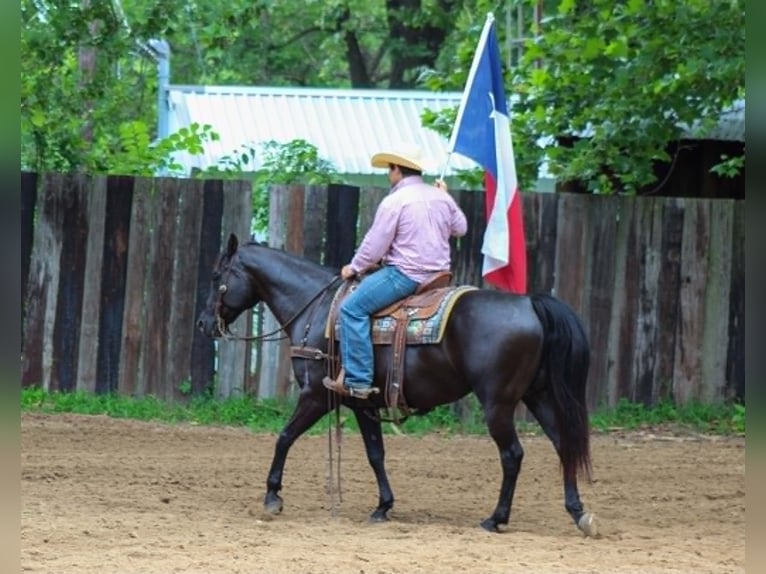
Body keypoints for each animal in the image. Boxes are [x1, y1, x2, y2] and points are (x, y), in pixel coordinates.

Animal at [196, 233, 597, 536]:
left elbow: (284, 437)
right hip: (538, 395)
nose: (203, 323)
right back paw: (579, 513)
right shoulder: (363, 403)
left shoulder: (315, 395)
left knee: (512, 454)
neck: (318, 310)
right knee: (564, 444)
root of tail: (530, 304)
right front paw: (383, 506)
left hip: (498, 403)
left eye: (217, 275)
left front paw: (272, 497)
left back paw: (495, 518)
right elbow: (376, 454)